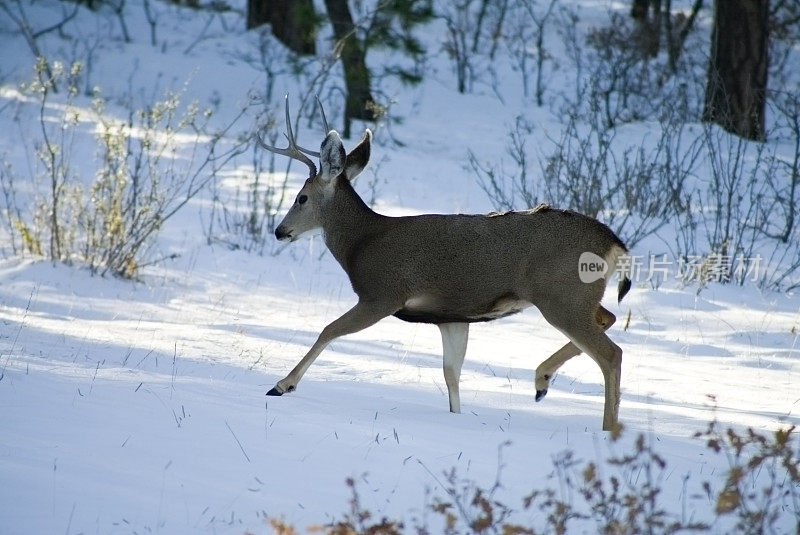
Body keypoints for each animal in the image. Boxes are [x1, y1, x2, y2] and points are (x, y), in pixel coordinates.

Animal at [260, 95, 632, 432]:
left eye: (301, 198)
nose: (280, 231)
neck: (362, 244)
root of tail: (614, 242)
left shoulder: (383, 293)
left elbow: (329, 329)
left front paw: (282, 385)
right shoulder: (451, 316)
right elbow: (451, 375)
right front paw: (457, 418)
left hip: (561, 296)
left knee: (612, 354)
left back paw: (606, 427)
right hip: (576, 297)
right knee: (609, 318)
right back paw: (543, 381)